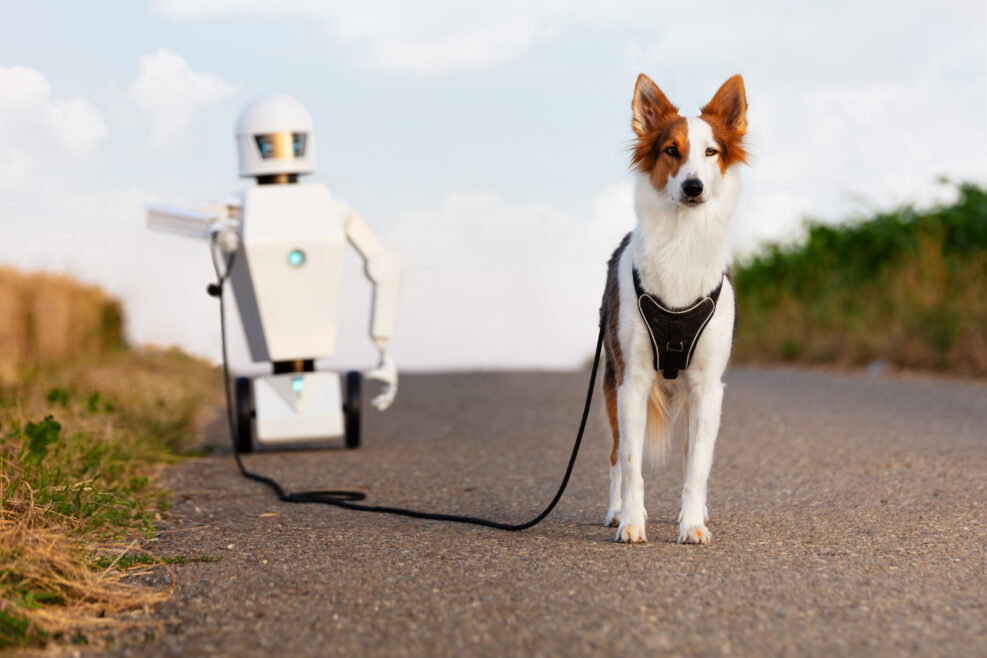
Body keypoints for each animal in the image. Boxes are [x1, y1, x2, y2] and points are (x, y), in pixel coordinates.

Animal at [604, 72, 748, 544]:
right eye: (671, 150)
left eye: (711, 152)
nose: (693, 186)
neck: (682, 244)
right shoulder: (632, 380)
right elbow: (632, 462)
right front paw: (632, 522)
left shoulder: (707, 384)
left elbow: (697, 463)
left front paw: (693, 523)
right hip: (610, 383)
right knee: (615, 453)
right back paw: (615, 511)